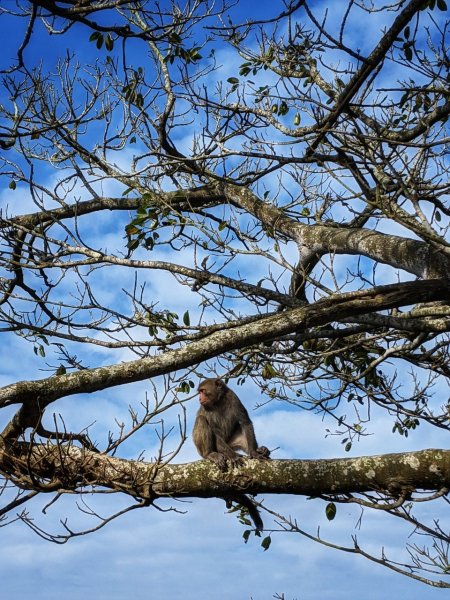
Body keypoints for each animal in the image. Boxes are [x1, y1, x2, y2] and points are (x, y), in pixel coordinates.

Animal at [191, 378, 268, 532]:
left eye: (203, 391)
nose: (199, 398)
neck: (218, 402)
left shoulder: (234, 399)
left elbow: (245, 422)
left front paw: (254, 452)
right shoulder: (205, 408)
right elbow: (214, 431)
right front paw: (233, 456)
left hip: (231, 442)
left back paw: (260, 450)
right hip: (204, 448)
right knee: (202, 420)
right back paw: (212, 454)